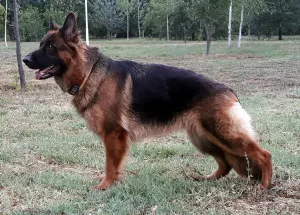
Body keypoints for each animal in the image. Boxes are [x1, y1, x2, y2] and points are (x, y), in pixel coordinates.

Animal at [23, 12, 272, 189]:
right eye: (41, 44)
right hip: (204, 138)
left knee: (264, 154)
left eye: (50, 47)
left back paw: (265, 185)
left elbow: (110, 166)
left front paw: (104, 187)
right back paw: (209, 179)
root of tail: (229, 90)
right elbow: (114, 166)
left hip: (223, 135)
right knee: (226, 163)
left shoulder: (113, 135)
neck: (88, 72)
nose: (24, 59)